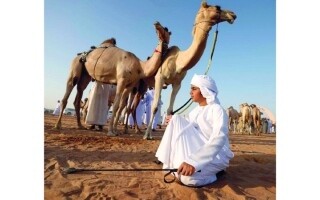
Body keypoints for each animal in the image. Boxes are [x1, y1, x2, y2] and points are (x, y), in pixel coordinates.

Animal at [142, 1, 235, 139]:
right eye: (217, 7)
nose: (233, 14)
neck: (178, 62)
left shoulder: (177, 84)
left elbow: (170, 109)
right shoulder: (160, 78)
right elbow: (154, 107)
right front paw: (147, 135)